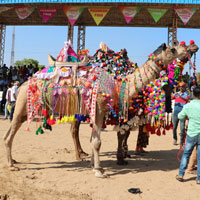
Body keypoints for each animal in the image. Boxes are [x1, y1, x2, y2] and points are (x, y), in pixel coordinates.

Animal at [3, 41, 188, 178]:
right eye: (173, 48)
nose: (187, 50)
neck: (118, 86)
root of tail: (23, 85)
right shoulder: (98, 109)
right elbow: (98, 142)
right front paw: (99, 171)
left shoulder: (98, 112)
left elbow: (94, 139)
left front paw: (95, 165)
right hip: (22, 105)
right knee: (9, 134)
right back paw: (11, 165)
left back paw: (15, 160)